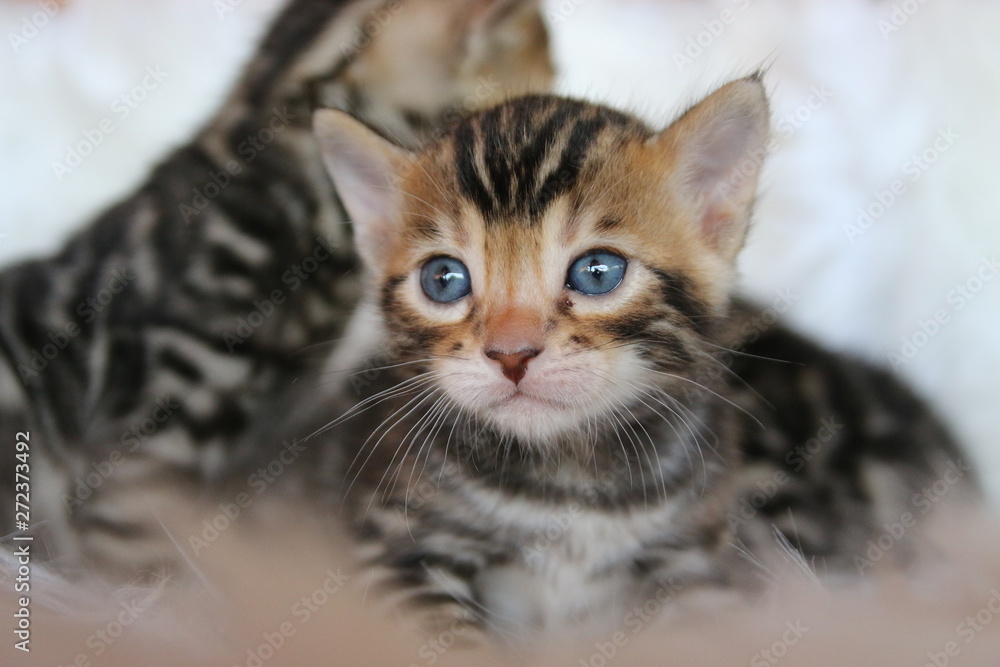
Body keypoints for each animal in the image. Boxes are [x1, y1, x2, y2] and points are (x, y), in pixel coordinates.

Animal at [316, 75, 980, 640]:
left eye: (598, 272)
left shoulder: (701, 565)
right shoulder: (395, 548)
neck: (568, 488)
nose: (511, 353)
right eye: (444, 280)